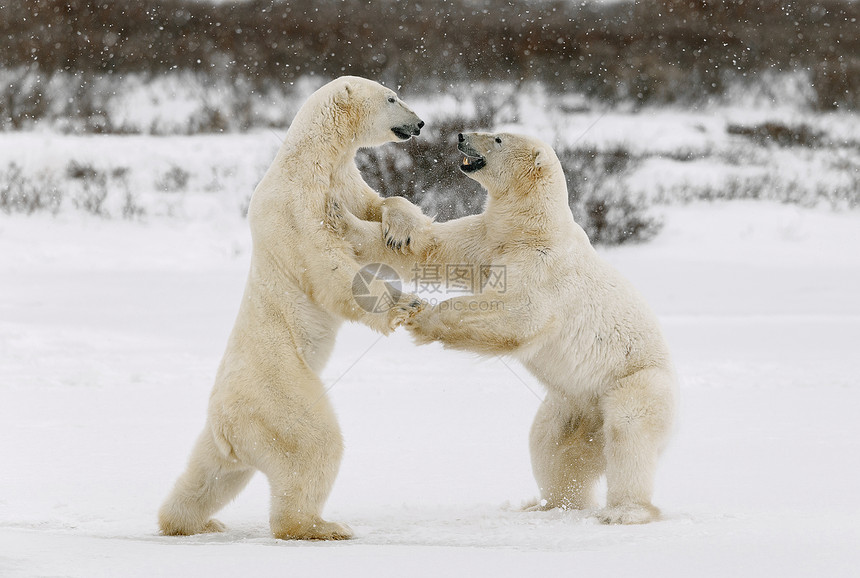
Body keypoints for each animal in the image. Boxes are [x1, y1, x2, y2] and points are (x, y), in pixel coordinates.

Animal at [159, 76, 430, 540]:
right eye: (391, 97)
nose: (419, 122)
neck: (312, 160)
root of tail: (228, 425)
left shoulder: (345, 180)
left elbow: (378, 207)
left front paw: (401, 228)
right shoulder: (295, 206)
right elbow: (329, 265)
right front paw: (404, 303)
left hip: (224, 436)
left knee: (210, 475)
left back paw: (190, 521)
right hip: (279, 395)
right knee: (313, 443)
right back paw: (321, 526)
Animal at [332, 133, 676, 524]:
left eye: (497, 138)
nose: (462, 135)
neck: (532, 227)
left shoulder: (542, 264)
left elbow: (518, 313)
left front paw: (421, 315)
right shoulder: (487, 240)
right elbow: (431, 249)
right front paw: (343, 215)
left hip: (635, 381)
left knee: (629, 432)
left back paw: (624, 511)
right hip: (570, 403)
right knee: (551, 445)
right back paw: (549, 504)